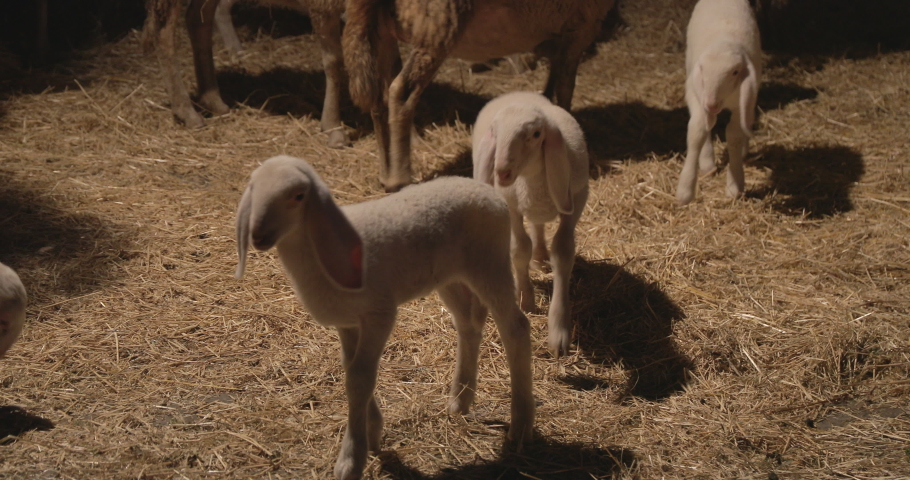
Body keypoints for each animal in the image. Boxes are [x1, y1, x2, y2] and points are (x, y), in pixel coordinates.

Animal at [142, 0, 350, 148]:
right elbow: (334, 63)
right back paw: (187, 112)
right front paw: (334, 127)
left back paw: (214, 101)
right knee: (164, 30)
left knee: (198, 18)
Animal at [235, 155, 535, 480]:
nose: (258, 236)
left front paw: (351, 459)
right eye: (253, 189)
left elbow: (360, 378)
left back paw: (520, 424)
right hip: (449, 276)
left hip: (490, 264)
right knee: (468, 324)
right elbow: (351, 368)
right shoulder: (348, 321)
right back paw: (460, 399)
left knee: (516, 329)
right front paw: (372, 430)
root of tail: (486, 191)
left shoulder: (379, 313)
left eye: (298, 196)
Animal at [342, 0, 615, 192]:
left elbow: (552, 81)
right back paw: (398, 179)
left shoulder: (558, 32)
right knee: (401, 91)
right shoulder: (581, 26)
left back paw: (385, 172)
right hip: (437, 25)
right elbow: (566, 89)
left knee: (378, 100)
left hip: (384, 29)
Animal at [472, 92, 589, 357]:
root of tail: (515, 93)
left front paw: (559, 332)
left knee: (538, 225)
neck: (531, 179)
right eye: (494, 131)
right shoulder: (511, 203)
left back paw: (541, 256)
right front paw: (526, 298)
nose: (502, 172)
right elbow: (519, 249)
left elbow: (563, 252)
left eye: (535, 134)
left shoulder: (577, 199)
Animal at [677, 0, 762, 205]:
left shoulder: (745, 99)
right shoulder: (695, 93)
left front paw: (735, 185)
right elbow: (698, 130)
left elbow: (734, 134)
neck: (723, 42)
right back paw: (707, 160)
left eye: (735, 72)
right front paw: (685, 190)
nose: (711, 105)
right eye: (702, 69)